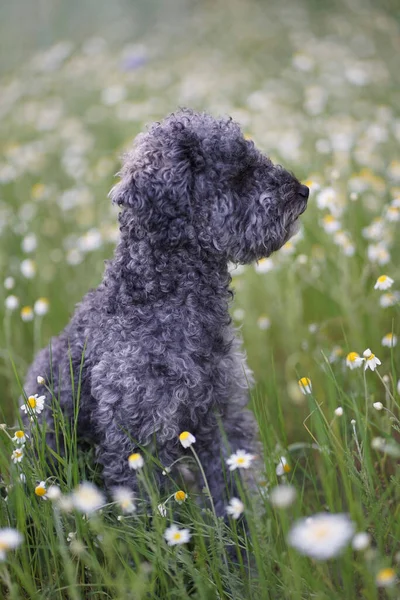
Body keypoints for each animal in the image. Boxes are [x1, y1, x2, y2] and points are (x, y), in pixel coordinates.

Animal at [22, 109, 310, 516]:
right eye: (238, 173)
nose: (303, 191)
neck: (166, 300)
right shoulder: (138, 437)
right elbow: (147, 513)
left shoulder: (222, 416)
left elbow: (232, 488)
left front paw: (243, 534)